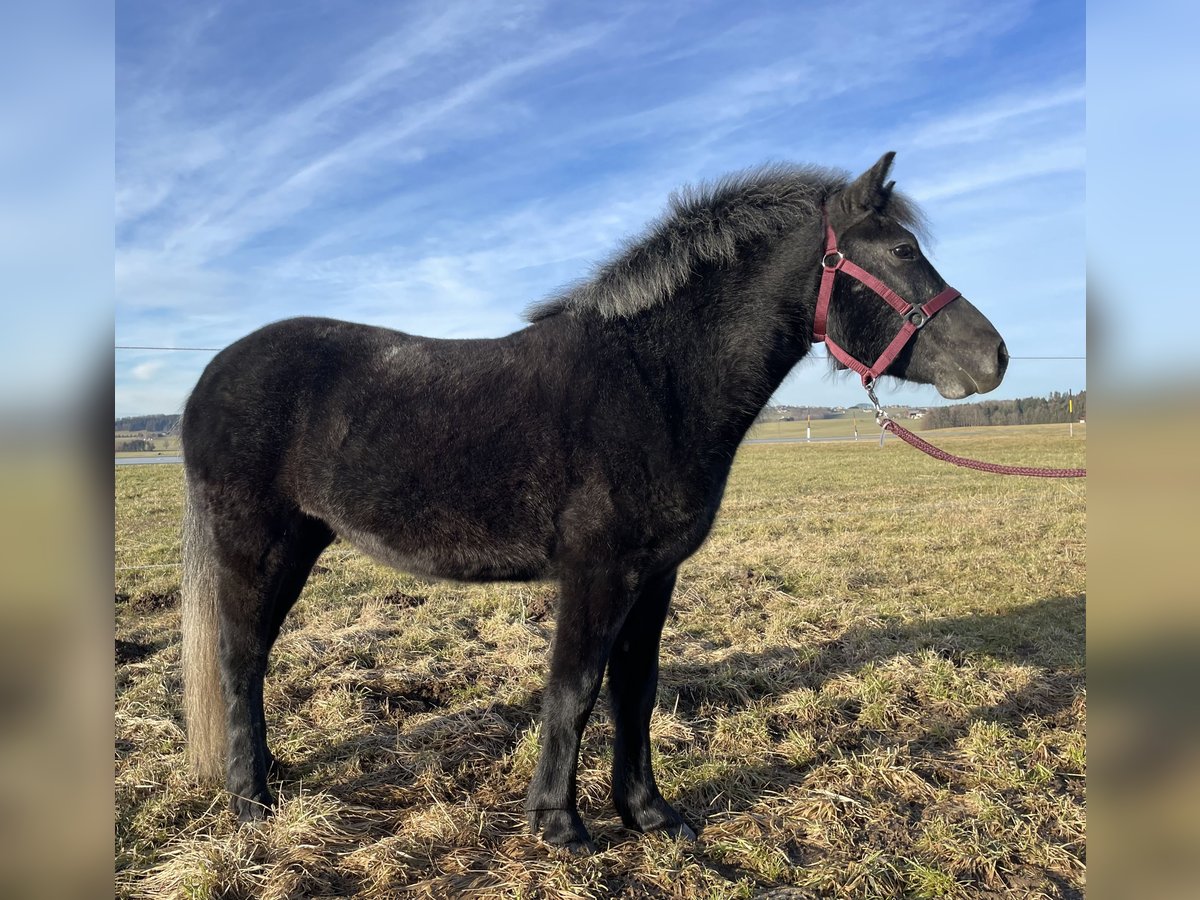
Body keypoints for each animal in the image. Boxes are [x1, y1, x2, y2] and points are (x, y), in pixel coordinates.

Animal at [180, 154, 1003, 854]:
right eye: (901, 251)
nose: (993, 357)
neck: (652, 383)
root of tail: (213, 376)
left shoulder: (654, 575)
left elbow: (635, 690)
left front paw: (649, 814)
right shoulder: (598, 573)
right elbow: (573, 691)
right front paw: (560, 825)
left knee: (252, 657)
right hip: (258, 547)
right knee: (239, 656)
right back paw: (251, 800)